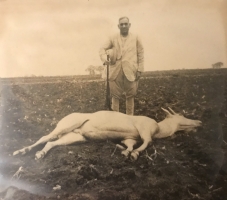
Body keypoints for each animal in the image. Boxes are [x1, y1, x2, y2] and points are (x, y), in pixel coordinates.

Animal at [12, 108, 200, 161]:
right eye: (181, 116)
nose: (199, 122)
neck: (159, 128)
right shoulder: (144, 129)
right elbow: (147, 142)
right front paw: (134, 154)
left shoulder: (130, 138)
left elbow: (130, 144)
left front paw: (125, 151)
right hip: (66, 125)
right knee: (45, 137)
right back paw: (20, 151)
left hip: (75, 136)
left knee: (52, 143)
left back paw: (40, 154)